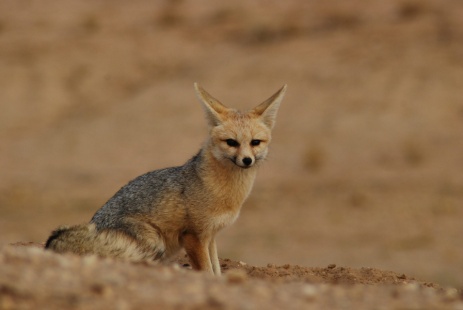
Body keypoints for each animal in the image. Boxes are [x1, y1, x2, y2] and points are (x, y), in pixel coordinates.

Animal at [46, 82, 286, 274]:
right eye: (231, 142)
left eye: (255, 142)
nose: (247, 160)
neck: (225, 193)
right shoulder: (193, 236)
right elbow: (207, 271)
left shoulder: (211, 236)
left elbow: (216, 268)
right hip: (154, 240)